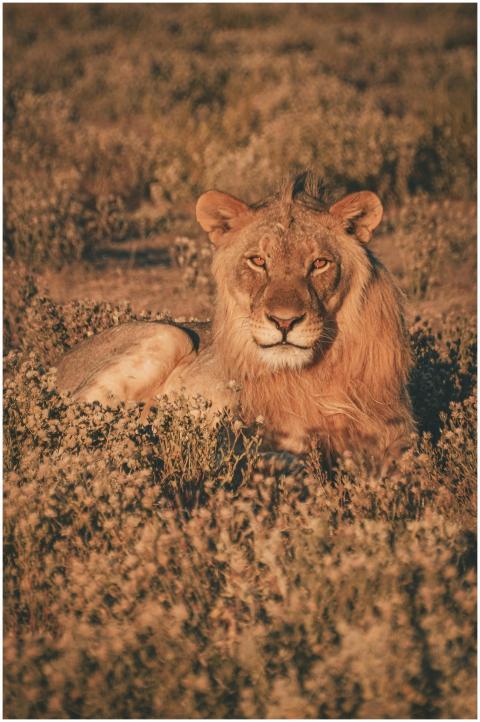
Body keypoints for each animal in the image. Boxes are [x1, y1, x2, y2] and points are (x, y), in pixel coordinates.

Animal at [56, 172, 414, 463]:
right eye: (258, 261)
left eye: (319, 263)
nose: (284, 322)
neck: (313, 375)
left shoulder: (392, 435)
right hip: (169, 336)